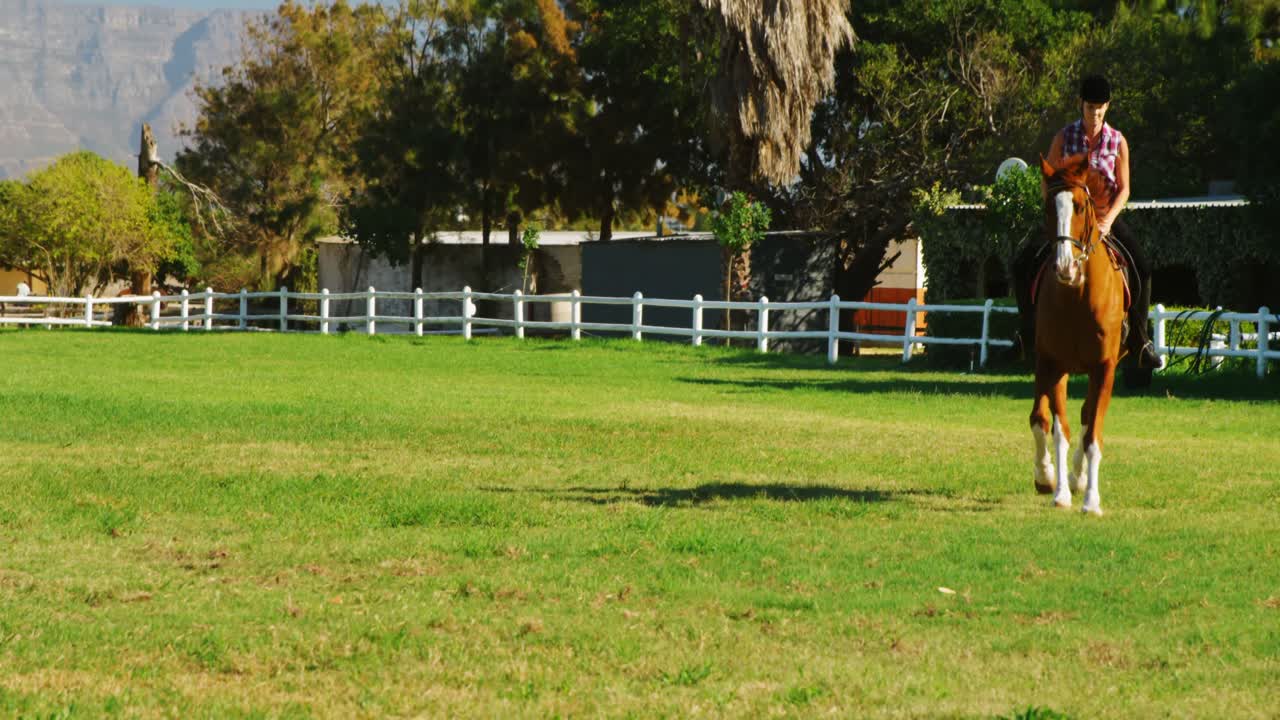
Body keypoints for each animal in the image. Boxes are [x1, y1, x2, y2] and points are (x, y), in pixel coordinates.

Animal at [1029, 154, 1128, 516]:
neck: (1077, 297)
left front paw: (1091, 500)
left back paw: (1080, 476)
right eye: (1048, 207)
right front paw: (1057, 490)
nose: (1065, 267)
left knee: (1088, 418)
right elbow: (1058, 430)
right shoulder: (1053, 363)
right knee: (1041, 417)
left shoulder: (1104, 368)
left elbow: (1092, 436)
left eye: (1081, 206)